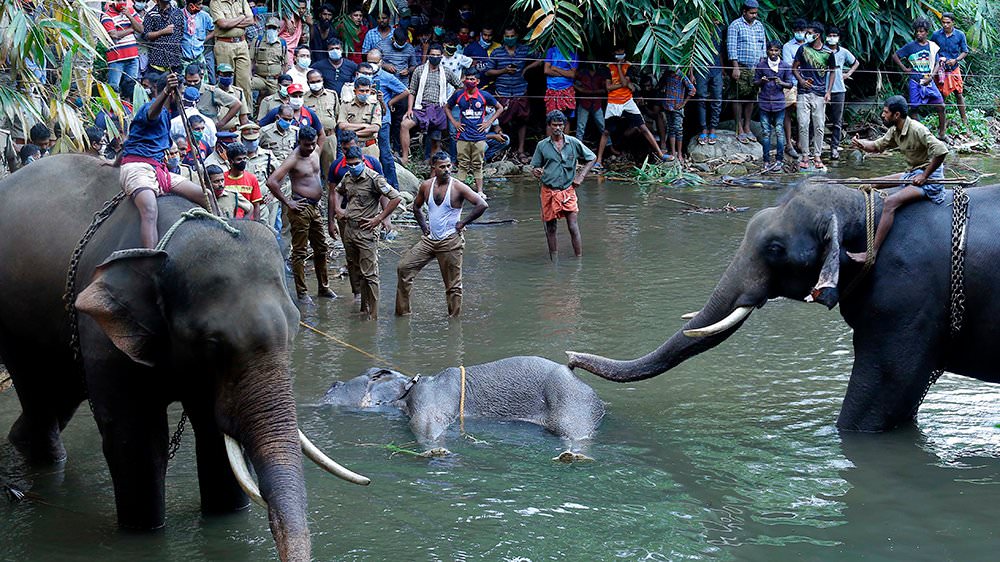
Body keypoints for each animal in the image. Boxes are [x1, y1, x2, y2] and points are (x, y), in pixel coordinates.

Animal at [0, 155, 367, 561]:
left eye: (296, 328)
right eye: (213, 343)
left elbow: (213, 435)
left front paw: (226, 517)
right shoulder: (101, 332)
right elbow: (138, 443)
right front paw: (144, 533)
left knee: (56, 398)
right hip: (14, 326)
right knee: (39, 393)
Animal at [323, 356, 606, 457]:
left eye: (337, 385)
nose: (331, 384)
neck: (410, 386)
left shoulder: (430, 399)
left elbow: (426, 424)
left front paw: (437, 452)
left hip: (571, 402)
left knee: (575, 433)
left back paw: (573, 455)